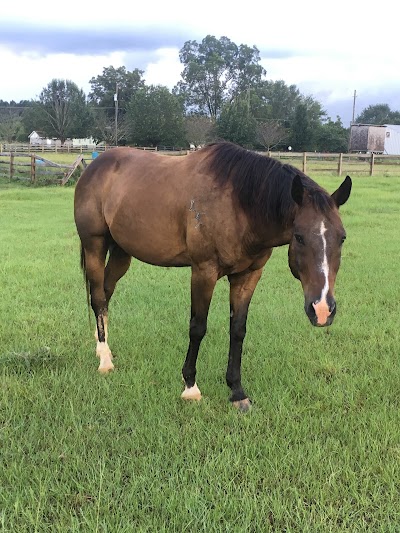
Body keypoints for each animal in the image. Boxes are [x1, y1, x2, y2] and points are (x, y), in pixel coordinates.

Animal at [74, 141, 350, 412]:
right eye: (299, 237)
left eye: (342, 238)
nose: (322, 310)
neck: (239, 206)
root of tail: (94, 167)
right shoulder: (203, 272)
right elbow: (198, 327)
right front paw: (190, 387)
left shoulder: (248, 275)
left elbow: (238, 329)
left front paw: (237, 391)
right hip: (94, 246)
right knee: (98, 297)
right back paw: (105, 360)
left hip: (122, 252)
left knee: (105, 293)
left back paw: (101, 345)